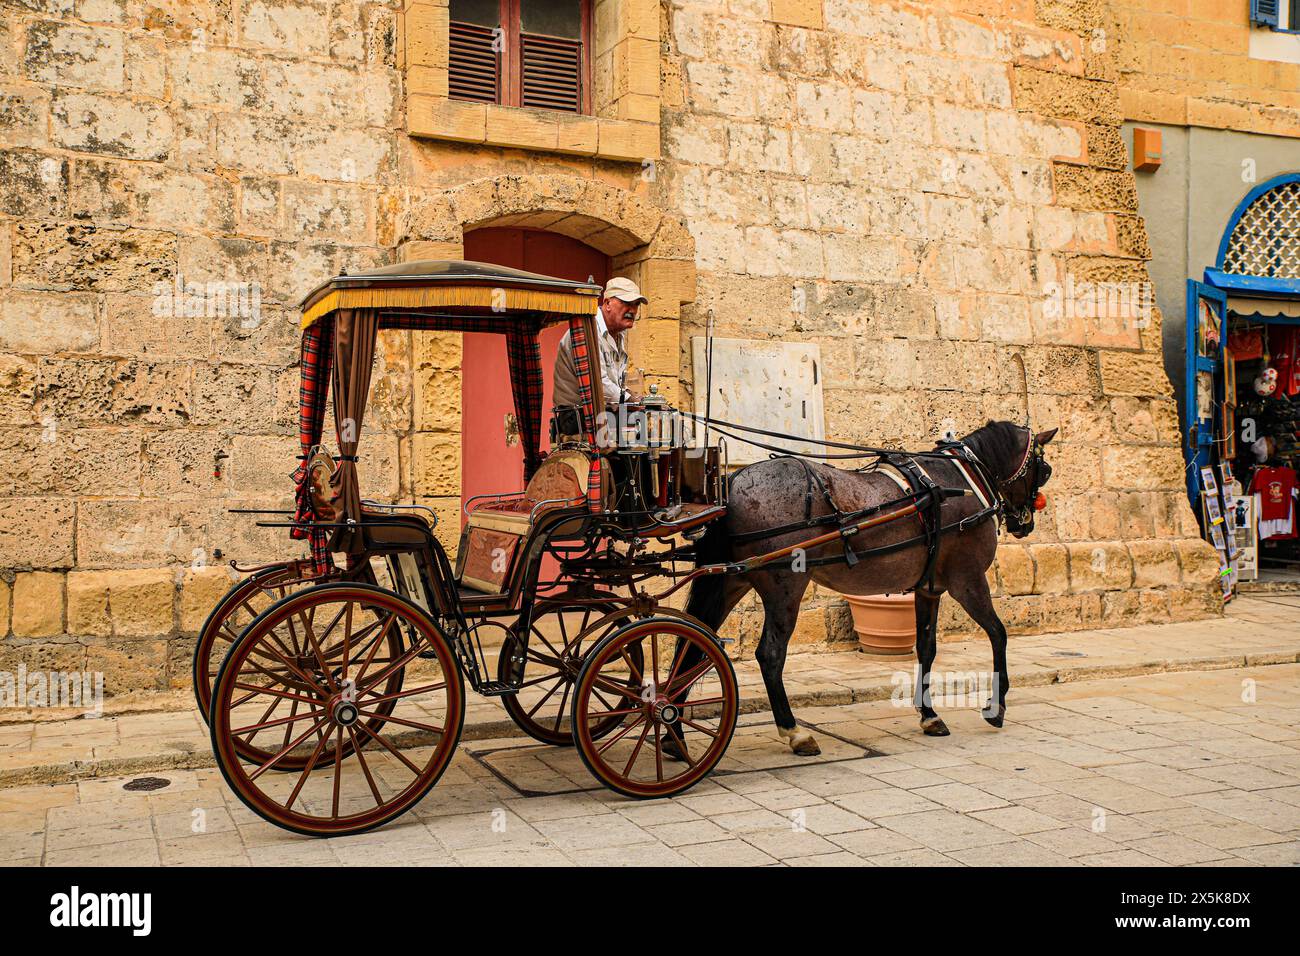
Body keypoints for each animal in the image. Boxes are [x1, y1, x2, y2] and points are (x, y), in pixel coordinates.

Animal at [681, 418, 1055, 754]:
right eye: (1045, 470)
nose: (1025, 523)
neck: (964, 477)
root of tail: (733, 481)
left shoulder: (928, 588)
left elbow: (927, 648)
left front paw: (929, 715)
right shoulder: (968, 581)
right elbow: (998, 634)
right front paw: (997, 706)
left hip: (730, 580)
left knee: (692, 646)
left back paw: (676, 736)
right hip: (784, 586)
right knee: (769, 655)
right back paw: (794, 732)